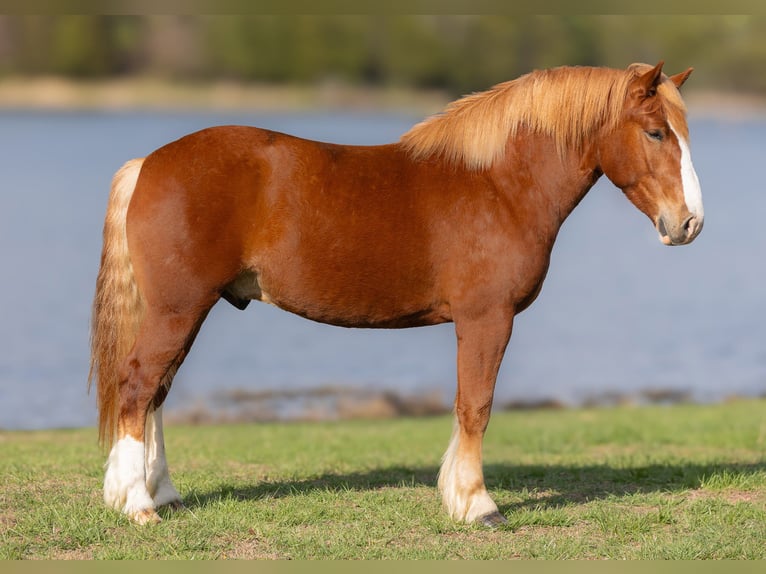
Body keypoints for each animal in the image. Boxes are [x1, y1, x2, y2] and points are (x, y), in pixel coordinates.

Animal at [89, 62, 703, 526]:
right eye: (655, 132)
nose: (689, 223)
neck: (499, 184)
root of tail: (148, 164)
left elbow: (467, 405)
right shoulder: (487, 318)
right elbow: (475, 405)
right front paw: (477, 504)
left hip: (183, 311)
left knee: (156, 392)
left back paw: (162, 493)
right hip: (178, 308)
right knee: (138, 386)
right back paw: (139, 504)